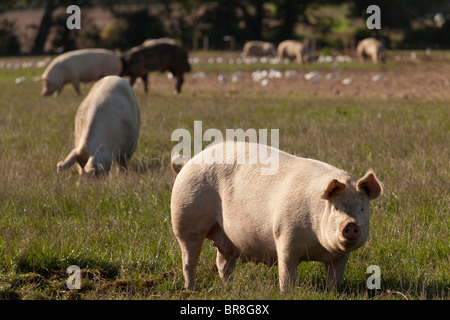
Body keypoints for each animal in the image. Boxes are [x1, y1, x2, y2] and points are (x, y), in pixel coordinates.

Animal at [171, 141, 382, 292]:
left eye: (361, 208)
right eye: (336, 208)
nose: (351, 225)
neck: (318, 246)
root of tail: (188, 162)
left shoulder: (341, 256)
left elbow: (334, 278)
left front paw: (332, 293)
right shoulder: (285, 236)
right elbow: (287, 273)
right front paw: (287, 293)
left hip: (225, 237)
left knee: (223, 262)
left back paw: (229, 287)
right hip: (185, 219)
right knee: (188, 260)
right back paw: (191, 290)